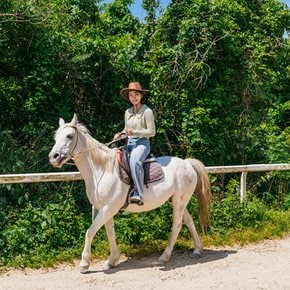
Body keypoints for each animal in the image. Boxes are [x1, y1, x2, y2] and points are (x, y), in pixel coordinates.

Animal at [48, 114, 211, 274]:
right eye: (55, 137)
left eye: (69, 135)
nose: (53, 157)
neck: (102, 170)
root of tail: (188, 163)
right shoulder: (105, 209)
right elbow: (110, 233)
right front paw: (112, 260)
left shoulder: (108, 208)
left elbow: (90, 232)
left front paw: (84, 264)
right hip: (177, 201)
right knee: (189, 221)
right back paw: (197, 250)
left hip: (179, 202)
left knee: (176, 226)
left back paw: (164, 256)